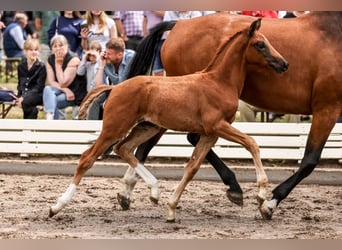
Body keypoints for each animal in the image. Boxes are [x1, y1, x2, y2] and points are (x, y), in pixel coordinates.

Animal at [48, 20, 288, 223]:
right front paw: (261, 194)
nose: (284, 64)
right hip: (115, 127)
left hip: (147, 127)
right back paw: (57, 207)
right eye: (260, 44)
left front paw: (171, 208)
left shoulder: (210, 133)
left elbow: (192, 167)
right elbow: (251, 143)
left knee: (124, 149)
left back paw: (154, 190)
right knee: (87, 158)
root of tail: (115, 87)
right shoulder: (217, 126)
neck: (218, 82)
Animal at [123, 11, 342, 219]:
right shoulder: (327, 107)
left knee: (150, 142)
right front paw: (270, 202)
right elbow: (309, 160)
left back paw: (128, 190)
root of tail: (179, 24)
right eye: (260, 45)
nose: (284, 64)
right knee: (180, 138)